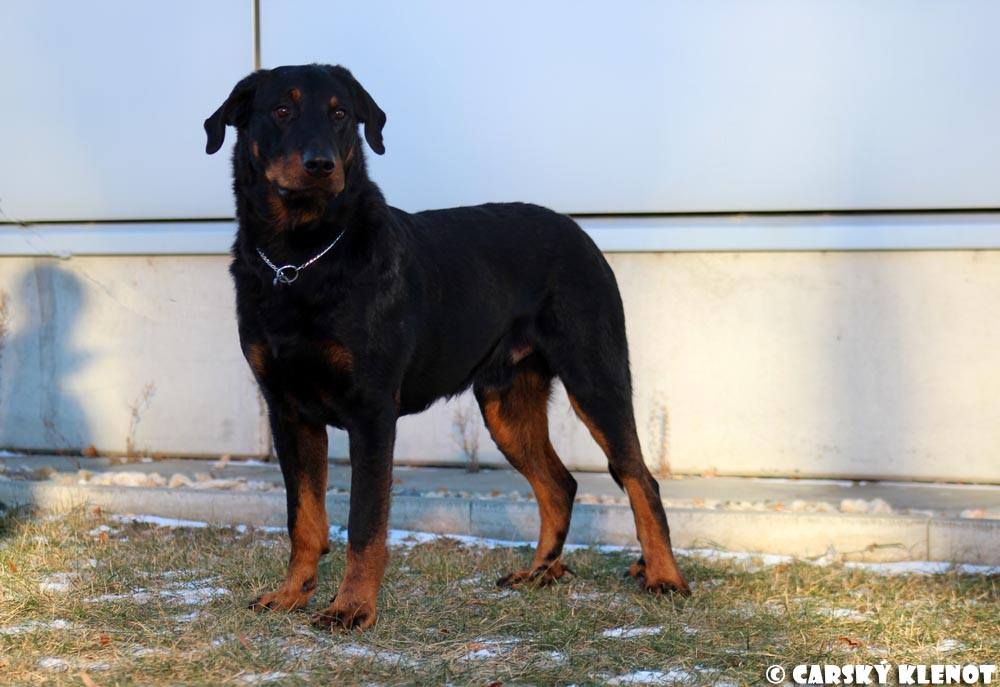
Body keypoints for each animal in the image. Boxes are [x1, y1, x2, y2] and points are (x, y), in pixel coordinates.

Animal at [204, 64, 689, 630]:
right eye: (282, 109)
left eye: (340, 113)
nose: (321, 164)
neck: (301, 259)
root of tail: (580, 232)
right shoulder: (287, 409)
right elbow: (303, 517)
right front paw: (290, 595)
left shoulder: (371, 410)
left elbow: (365, 522)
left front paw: (351, 608)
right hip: (506, 402)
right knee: (559, 483)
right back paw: (539, 572)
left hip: (595, 375)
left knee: (638, 477)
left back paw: (664, 577)